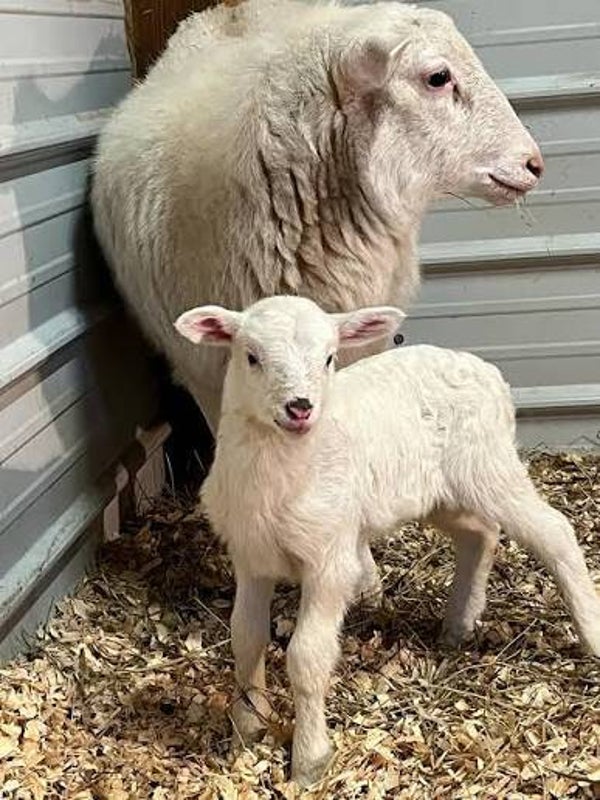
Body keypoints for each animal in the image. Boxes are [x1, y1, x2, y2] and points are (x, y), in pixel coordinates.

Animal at [175, 295, 600, 787]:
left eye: (330, 358)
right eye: (251, 356)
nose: (300, 407)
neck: (281, 473)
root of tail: (487, 371)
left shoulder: (330, 558)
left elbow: (306, 656)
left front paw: (309, 759)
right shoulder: (250, 557)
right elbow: (245, 638)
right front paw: (247, 727)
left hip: (489, 464)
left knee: (555, 531)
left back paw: (591, 633)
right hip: (439, 491)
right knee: (480, 533)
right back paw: (459, 624)